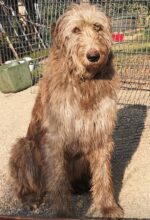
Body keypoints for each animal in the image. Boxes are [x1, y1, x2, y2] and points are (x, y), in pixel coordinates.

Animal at [9, 3, 124, 218]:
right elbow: (58, 180)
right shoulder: (55, 138)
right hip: (24, 147)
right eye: (76, 30)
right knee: (28, 184)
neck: (84, 82)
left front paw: (107, 206)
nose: (93, 56)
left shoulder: (101, 131)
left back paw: (80, 185)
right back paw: (30, 198)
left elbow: (103, 174)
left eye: (97, 27)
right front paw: (63, 212)